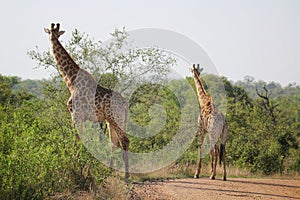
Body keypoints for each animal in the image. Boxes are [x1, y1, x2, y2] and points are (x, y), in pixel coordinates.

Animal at [44, 23, 129, 180]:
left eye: (55, 33)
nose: (52, 40)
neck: (71, 81)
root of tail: (125, 104)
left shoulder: (76, 114)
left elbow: (77, 139)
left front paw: (76, 166)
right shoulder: (82, 117)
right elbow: (81, 139)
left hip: (116, 118)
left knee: (124, 141)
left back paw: (126, 176)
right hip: (112, 120)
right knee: (113, 143)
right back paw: (110, 170)